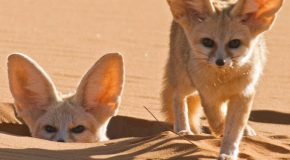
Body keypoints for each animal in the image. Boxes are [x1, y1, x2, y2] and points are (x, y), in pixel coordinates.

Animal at [163, 0, 284, 159]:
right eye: (207, 42)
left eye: (234, 43)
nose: (220, 62)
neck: (223, 79)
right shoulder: (208, 96)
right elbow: (218, 120)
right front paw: (220, 132)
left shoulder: (243, 94)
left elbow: (233, 129)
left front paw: (228, 152)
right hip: (186, 82)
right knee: (178, 96)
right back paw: (183, 129)